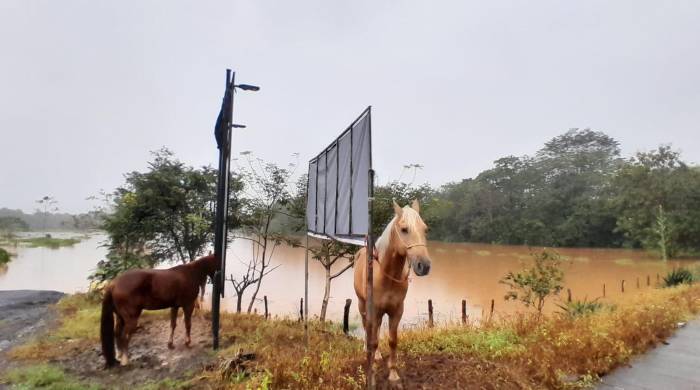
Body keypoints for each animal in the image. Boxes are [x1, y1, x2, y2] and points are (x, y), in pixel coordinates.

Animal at [356, 201, 432, 384]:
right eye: (404, 229)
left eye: (425, 229)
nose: (424, 266)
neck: (386, 276)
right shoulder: (374, 309)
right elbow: (373, 339)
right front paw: (372, 374)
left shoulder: (396, 310)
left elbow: (392, 341)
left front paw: (393, 375)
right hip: (362, 305)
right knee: (367, 327)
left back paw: (376, 355)